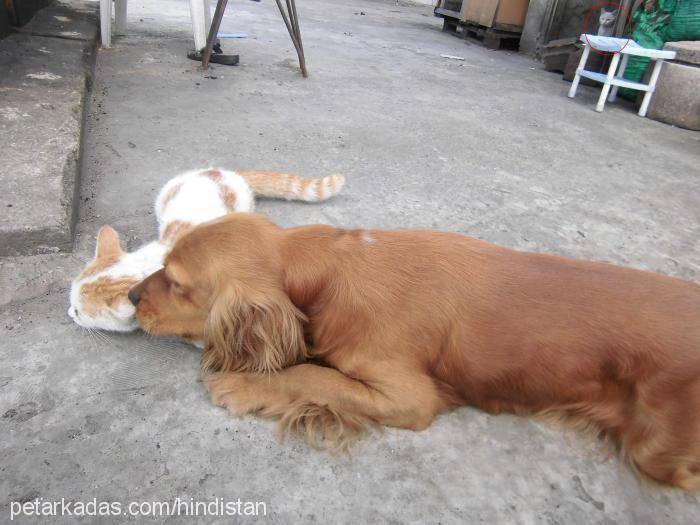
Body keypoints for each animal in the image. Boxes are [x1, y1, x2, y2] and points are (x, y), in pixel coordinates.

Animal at [129, 213, 696, 488]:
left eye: (176, 283)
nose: (132, 296)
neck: (331, 269)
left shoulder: (409, 396)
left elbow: (313, 376)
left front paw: (242, 384)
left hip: (655, 450)